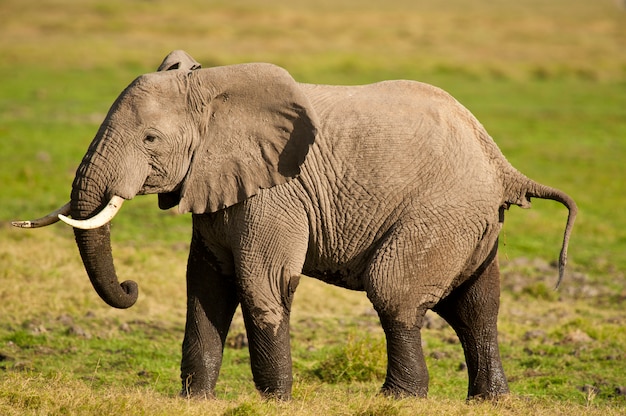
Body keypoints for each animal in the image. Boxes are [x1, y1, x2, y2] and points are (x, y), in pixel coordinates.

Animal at [13, 50, 576, 402]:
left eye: (150, 139)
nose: (131, 286)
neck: (214, 89)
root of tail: (502, 165)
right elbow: (205, 286)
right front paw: (196, 399)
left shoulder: (275, 194)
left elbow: (262, 283)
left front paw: (274, 399)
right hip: (471, 223)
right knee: (478, 305)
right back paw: (489, 400)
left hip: (440, 213)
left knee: (394, 293)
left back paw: (399, 397)